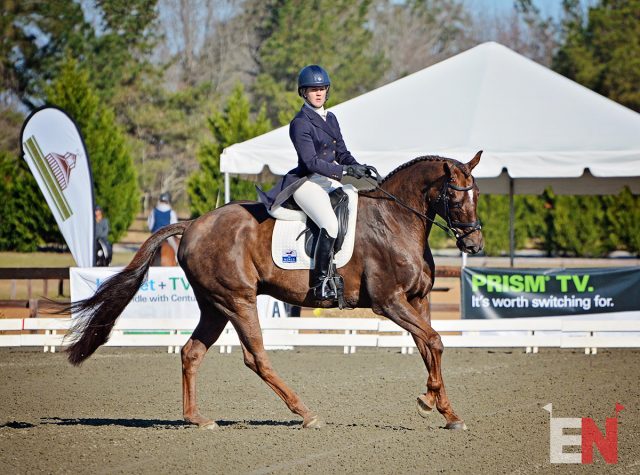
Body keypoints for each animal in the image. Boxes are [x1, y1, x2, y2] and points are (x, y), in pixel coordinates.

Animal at [66, 152, 484, 432]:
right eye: (455, 195)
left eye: (477, 192)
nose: (474, 245)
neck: (396, 221)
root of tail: (194, 224)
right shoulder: (390, 302)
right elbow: (435, 341)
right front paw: (430, 401)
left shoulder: (417, 301)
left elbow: (430, 347)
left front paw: (444, 410)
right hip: (238, 301)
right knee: (256, 358)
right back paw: (306, 413)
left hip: (215, 307)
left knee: (191, 352)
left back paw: (197, 419)